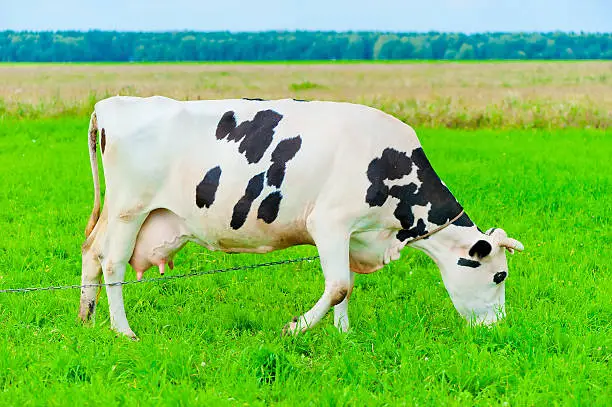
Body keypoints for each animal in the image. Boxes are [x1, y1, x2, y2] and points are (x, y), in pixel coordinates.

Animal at [79, 97, 524, 340]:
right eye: (499, 275)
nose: (499, 326)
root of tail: (111, 104)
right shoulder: (329, 223)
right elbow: (340, 286)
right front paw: (294, 328)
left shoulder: (353, 234)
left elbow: (347, 286)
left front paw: (344, 334)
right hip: (130, 209)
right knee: (113, 264)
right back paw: (124, 331)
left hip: (119, 213)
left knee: (91, 252)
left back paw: (87, 319)